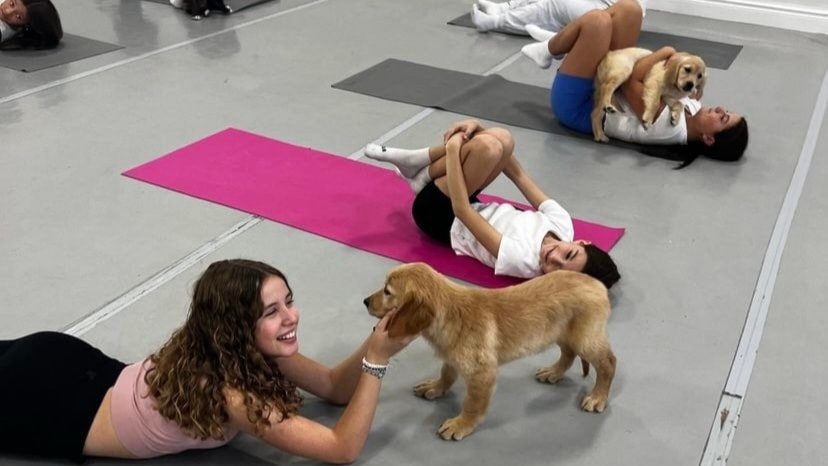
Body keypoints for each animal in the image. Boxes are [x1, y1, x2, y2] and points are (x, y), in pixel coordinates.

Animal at [362, 262, 616, 440]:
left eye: (387, 291)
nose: (365, 301)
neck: (451, 313)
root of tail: (599, 286)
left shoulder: (482, 373)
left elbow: (473, 404)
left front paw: (461, 424)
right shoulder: (454, 357)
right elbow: (447, 373)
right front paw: (436, 387)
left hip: (584, 339)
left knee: (608, 362)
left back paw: (597, 397)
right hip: (561, 332)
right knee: (569, 354)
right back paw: (553, 372)